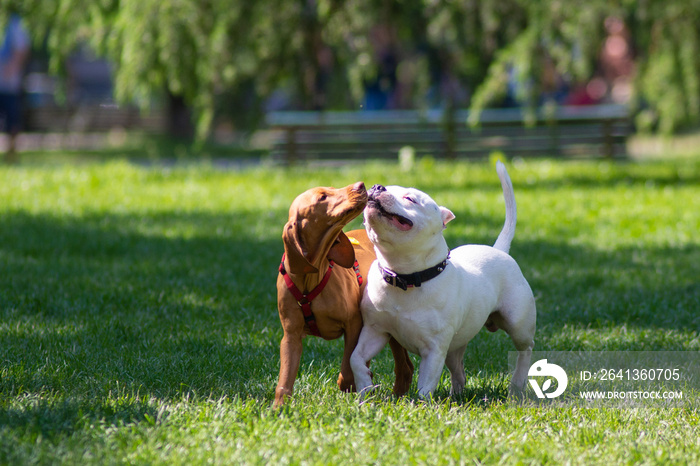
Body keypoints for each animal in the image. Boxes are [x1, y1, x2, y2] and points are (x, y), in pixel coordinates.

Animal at [274, 180, 416, 406]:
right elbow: (285, 379)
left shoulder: (354, 324)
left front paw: (354, 384)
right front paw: (278, 408)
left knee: (404, 367)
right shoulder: (291, 336)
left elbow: (347, 369)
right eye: (322, 197)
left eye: (331, 188)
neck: (310, 280)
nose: (361, 185)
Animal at [350, 162, 536, 398]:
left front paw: (419, 403)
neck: (404, 277)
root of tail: (499, 250)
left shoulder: (433, 350)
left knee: (525, 349)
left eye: (410, 198)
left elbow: (425, 385)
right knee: (459, 371)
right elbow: (356, 359)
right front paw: (364, 390)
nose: (376, 187)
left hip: (518, 324)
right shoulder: (375, 331)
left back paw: (517, 385)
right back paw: (457, 394)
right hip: (454, 347)